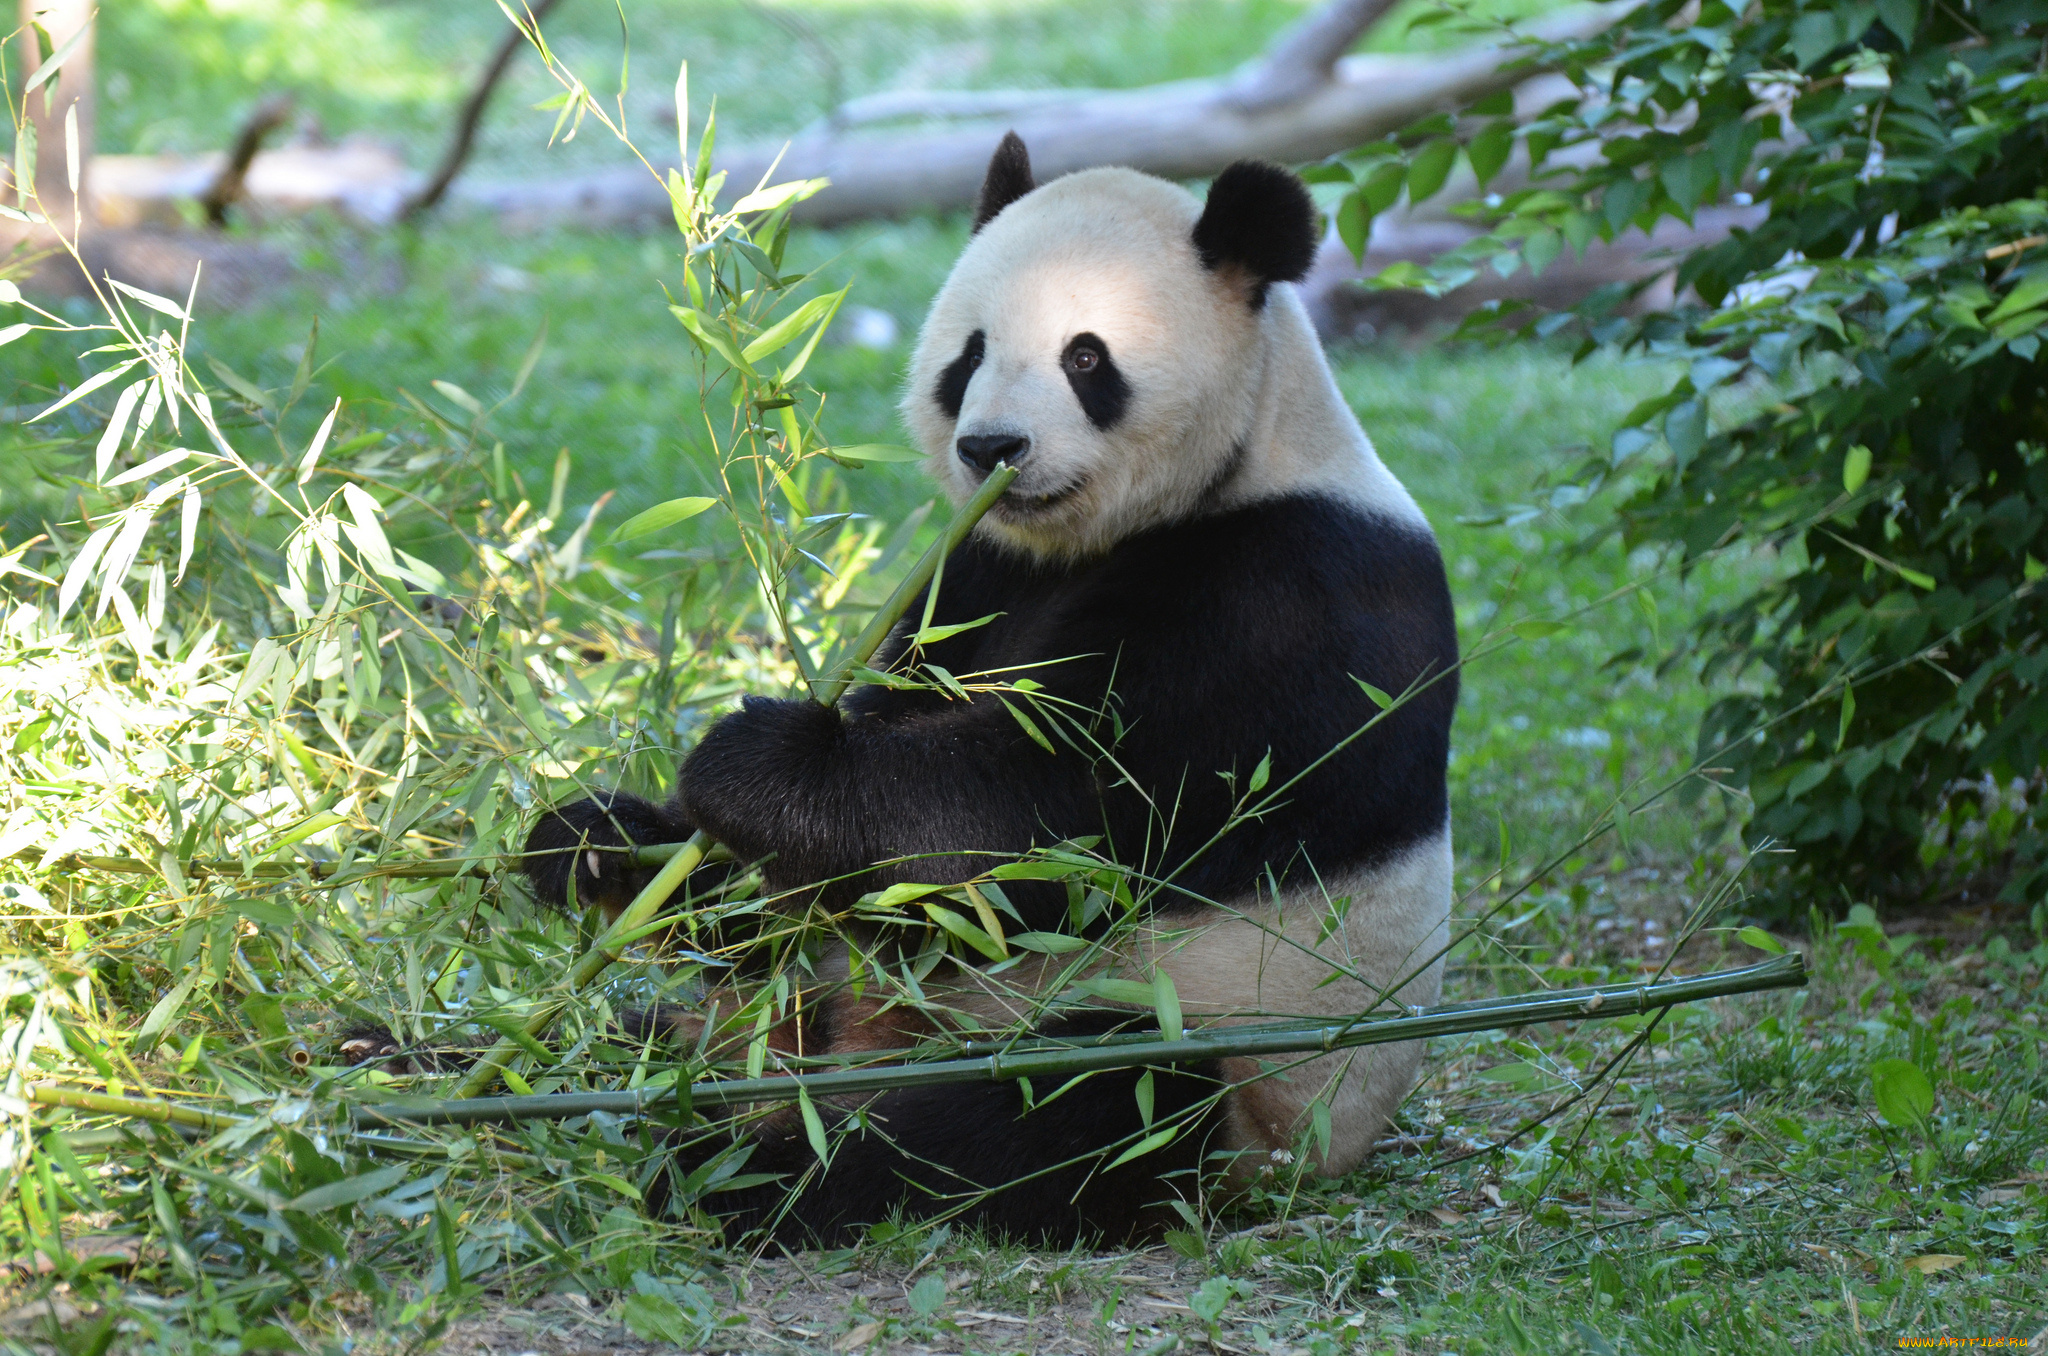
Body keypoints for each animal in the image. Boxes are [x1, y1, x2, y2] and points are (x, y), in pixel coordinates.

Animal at [528, 138, 1458, 1253]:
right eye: (968, 355)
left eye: (1086, 359)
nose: (991, 450)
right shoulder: (973, 576)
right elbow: (828, 872)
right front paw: (600, 844)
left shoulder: (1292, 604)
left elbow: (1057, 819)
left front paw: (751, 765)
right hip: (787, 1014)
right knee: (681, 1028)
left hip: (1235, 1062)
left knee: (1066, 1108)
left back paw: (726, 1168)